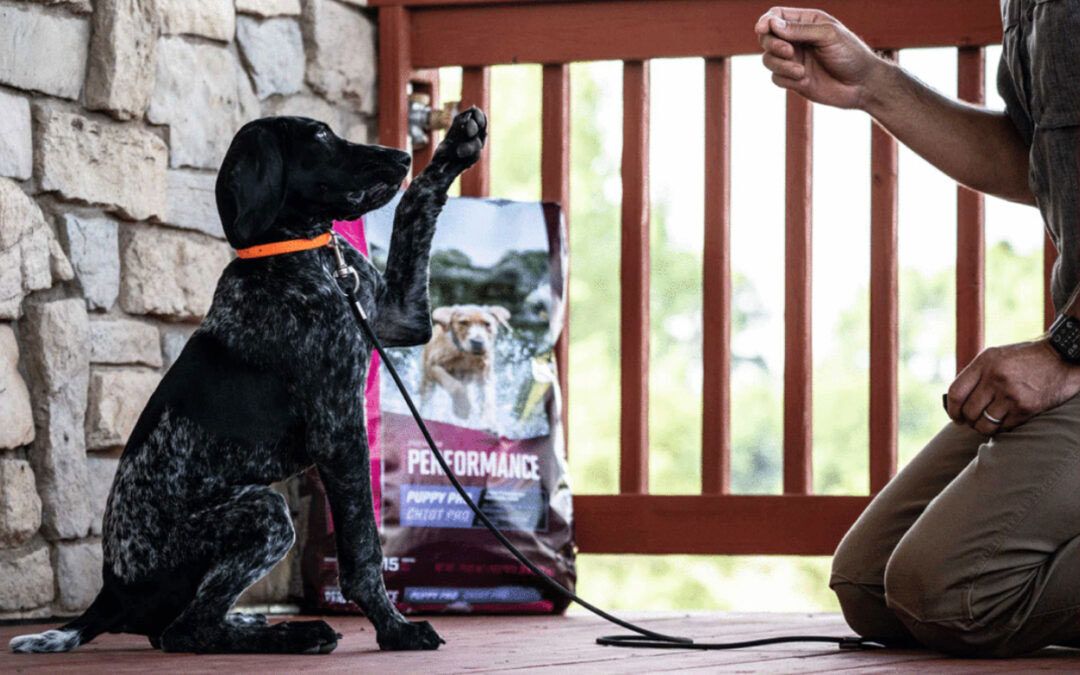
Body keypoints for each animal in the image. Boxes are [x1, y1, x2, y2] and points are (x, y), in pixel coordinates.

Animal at [7, 109, 490, 652]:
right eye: (320, 135)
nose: (403, 156)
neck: (301, 255)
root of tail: (110, 593)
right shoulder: (338, 432)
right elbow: (363, 550)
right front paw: (395, 629)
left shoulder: (400, 318)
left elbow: (414, 207)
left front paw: (456, 148)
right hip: (264, 512)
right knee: (186, 632)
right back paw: (296, 634)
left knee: (184, 626)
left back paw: (254, 623)